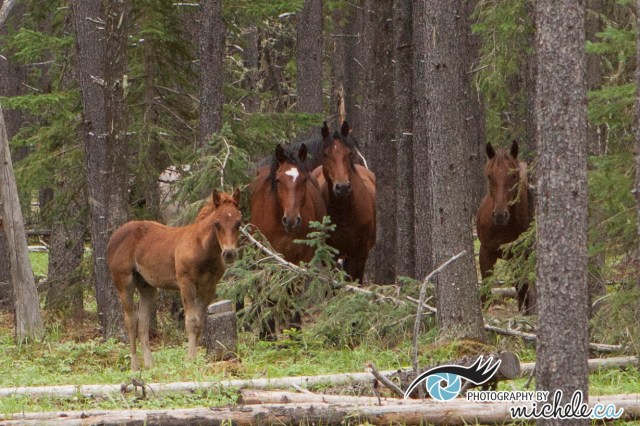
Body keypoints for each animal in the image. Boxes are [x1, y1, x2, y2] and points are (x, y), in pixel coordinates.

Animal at [107, 189, 241, 370]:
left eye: (238, 222)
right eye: (217, 223)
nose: (229, 253)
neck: (202, 249)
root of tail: (113, 237)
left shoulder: (209, 288)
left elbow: (199, 324)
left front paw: (195, 360)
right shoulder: (186, 284)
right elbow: (191, 322)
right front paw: (190, 360)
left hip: (147, 286)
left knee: (143, 322)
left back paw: (150, 365)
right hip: (124, 283)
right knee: (130, 321)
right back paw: (135, 366)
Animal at [249, 143, 326, 337]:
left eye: (304, 180)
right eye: (278, 180)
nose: (291, 220)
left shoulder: (300, 260)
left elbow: (293, 292)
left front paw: (294, 331)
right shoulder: (267, 258)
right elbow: (268, 295)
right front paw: (268, 334)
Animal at [312, 121, 376, 283]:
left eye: (348, 153)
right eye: (325, 154)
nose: (342, 187)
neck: (345, 211)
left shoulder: (360, 254)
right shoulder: (331, 254)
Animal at [476, 141, 532, 314]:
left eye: (513, 175)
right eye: (489, 175)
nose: (500, 215)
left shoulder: (523, 256)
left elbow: (523, 287)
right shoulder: (485, 251)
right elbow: (485, 290)